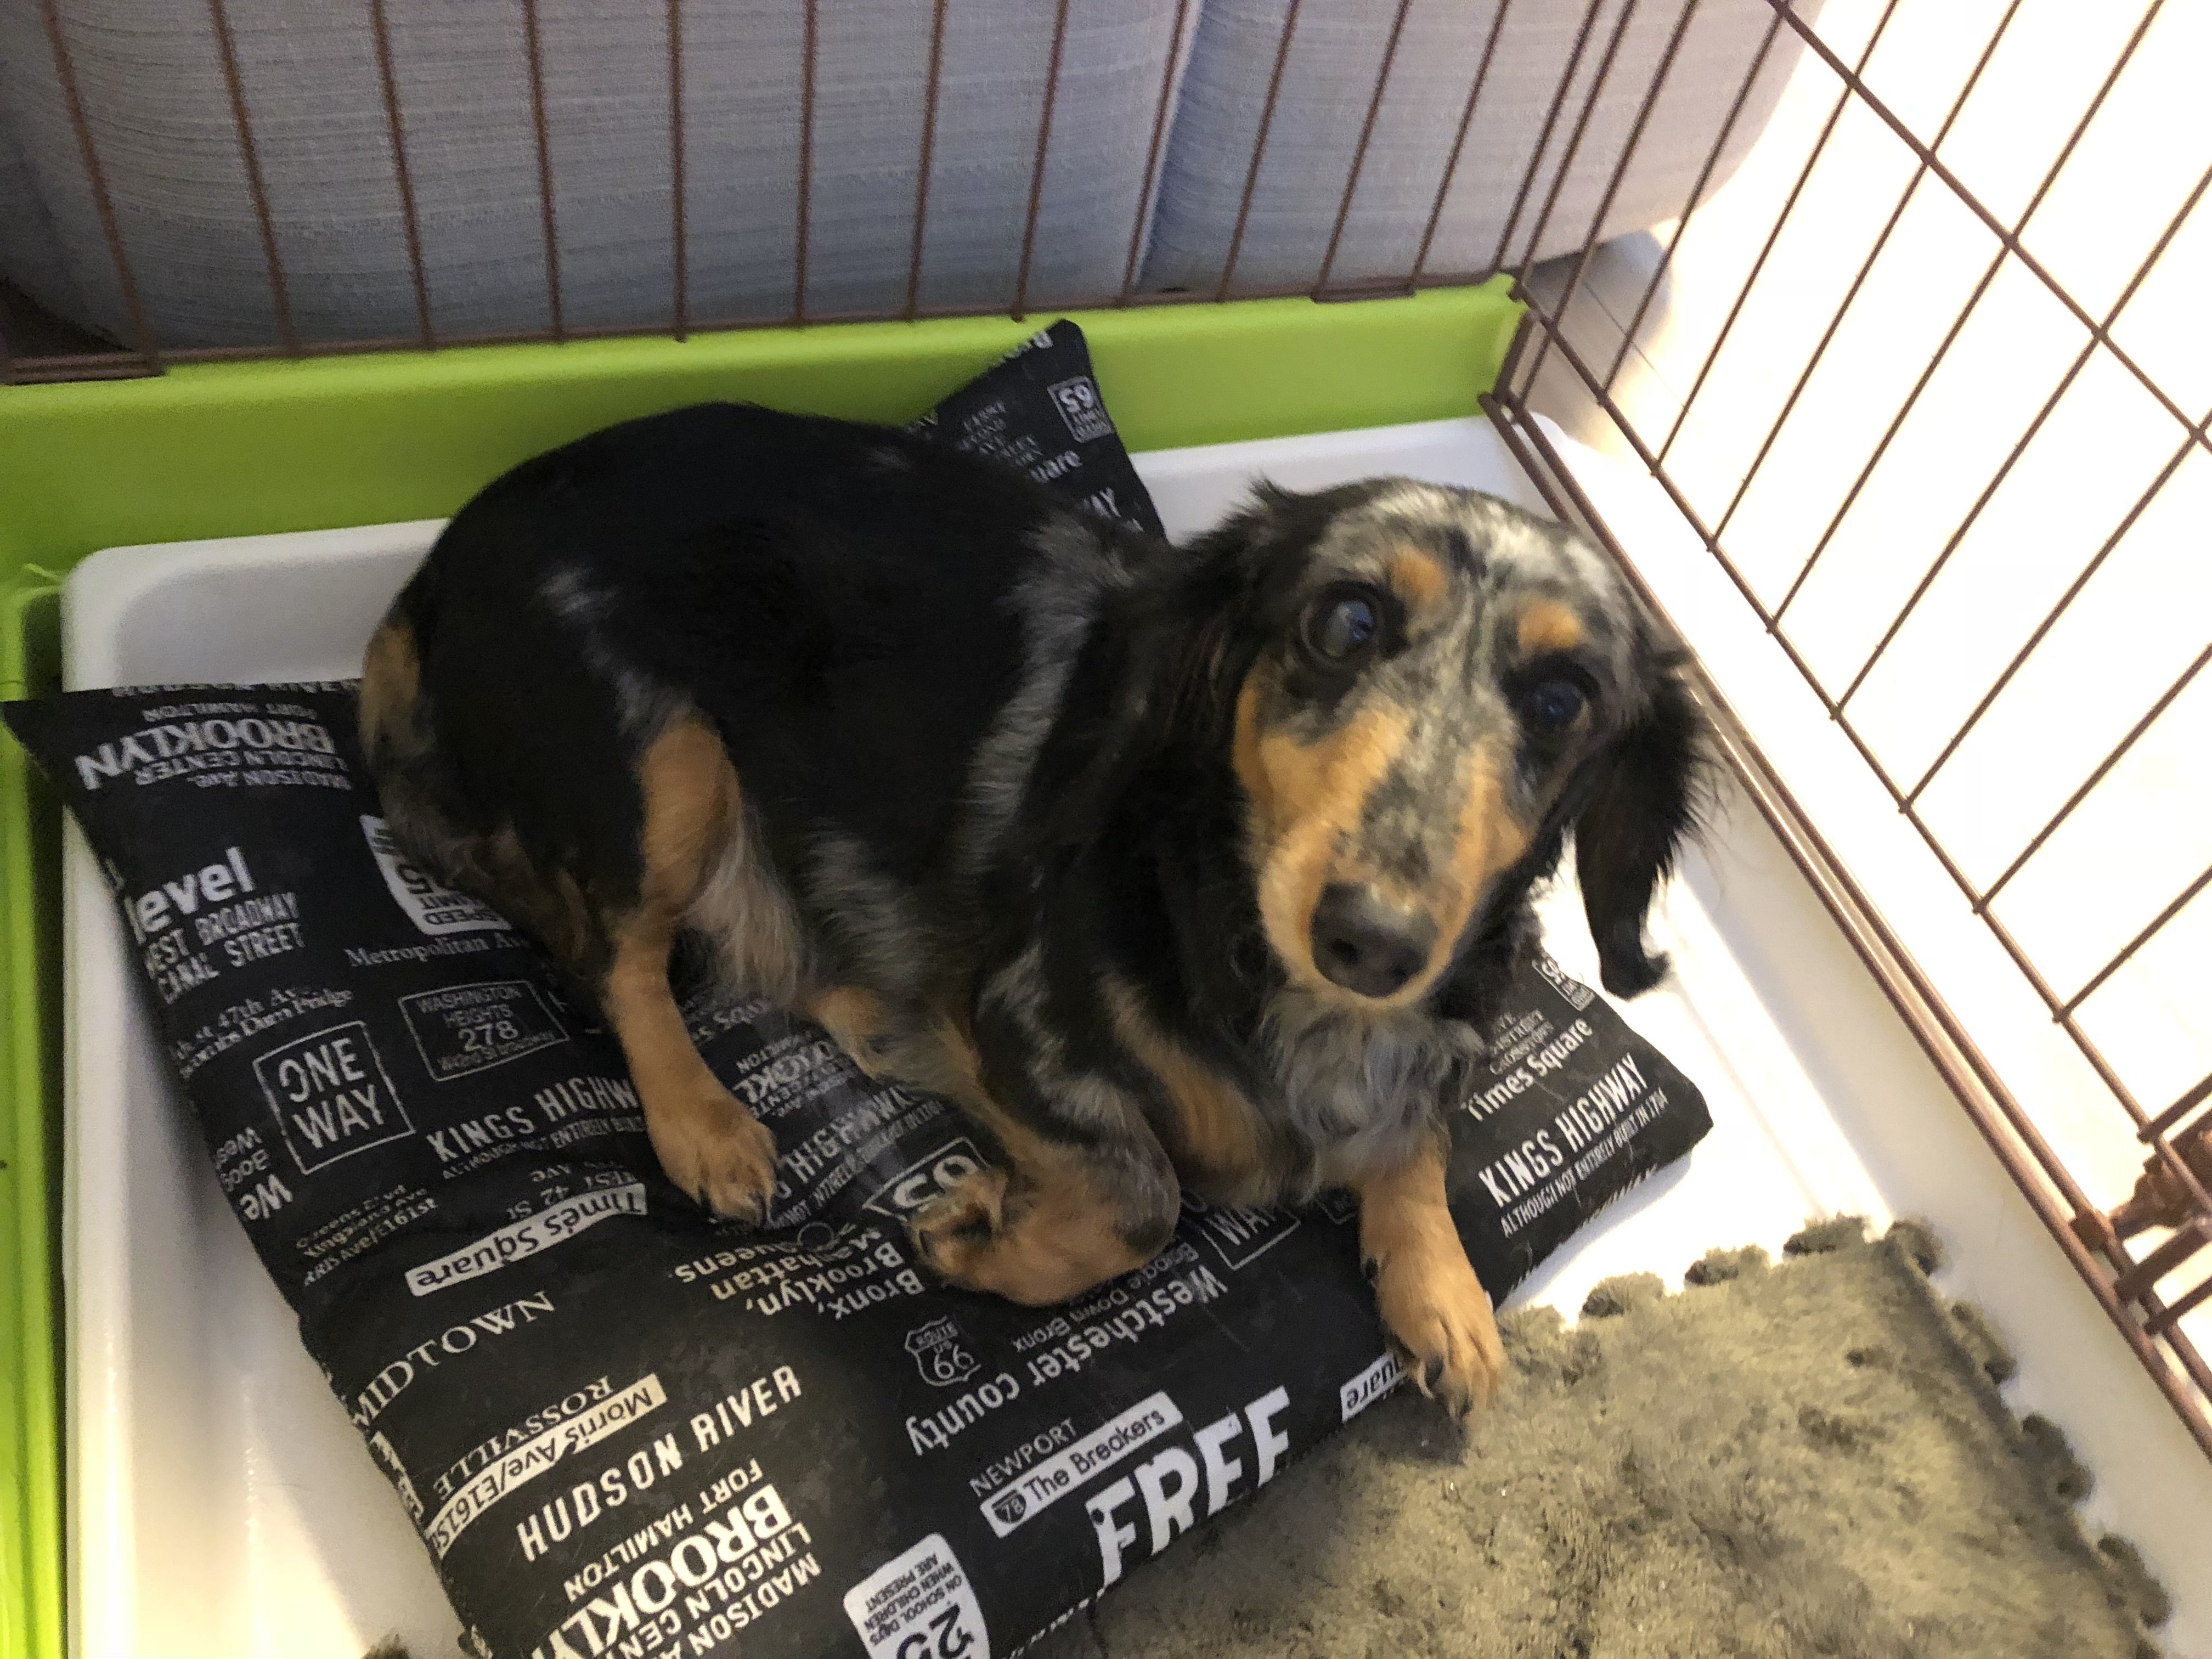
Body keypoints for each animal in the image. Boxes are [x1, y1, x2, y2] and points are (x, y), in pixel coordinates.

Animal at [359, 401, 1702, 1419]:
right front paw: (983, 1232)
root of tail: (434, 570)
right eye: (1349, 620)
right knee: (620, 961)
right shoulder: (1024, 1022)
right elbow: (1139, 1201)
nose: (1370, 939)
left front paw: (1445, 1290)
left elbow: (1417, 1139)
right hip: (666, 766)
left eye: (1563, 699)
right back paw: (707, 1123)